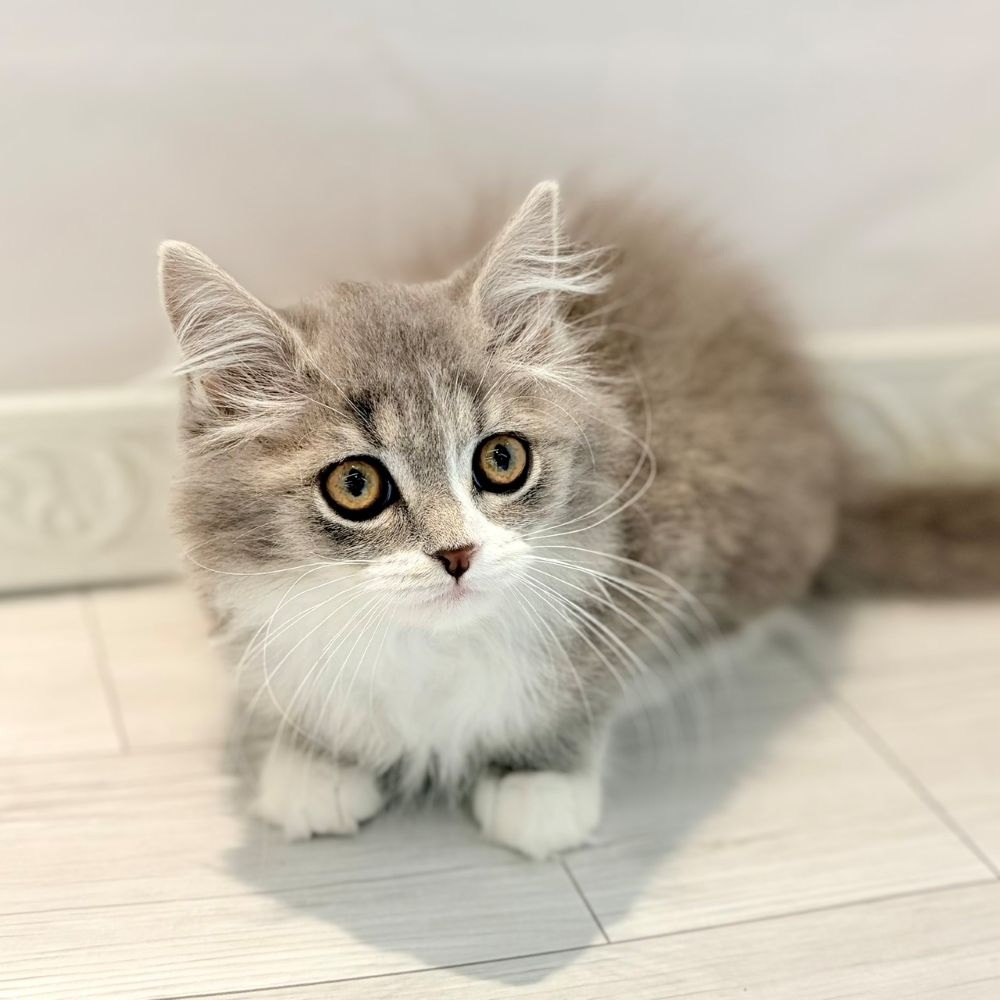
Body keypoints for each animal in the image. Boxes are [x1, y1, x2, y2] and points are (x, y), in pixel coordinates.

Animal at [159, 181, 1000, 858]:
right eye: (357, 484)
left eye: (501, 460)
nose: (457, 554)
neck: (433, 647)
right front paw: (314, 758)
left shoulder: (663, 552)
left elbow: (597, 681)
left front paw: (540, 782)